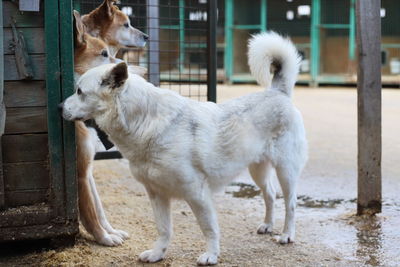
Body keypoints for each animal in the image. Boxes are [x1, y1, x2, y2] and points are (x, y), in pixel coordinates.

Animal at [60, 31, 310, 266]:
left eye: (79, 91)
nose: (59, 106)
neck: (145, 122)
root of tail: (277, 92)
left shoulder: (197, 194)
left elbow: (208, 228)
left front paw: (211, 255)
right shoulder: (156, 194)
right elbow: (164, 229)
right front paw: (158, 254)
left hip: (286, 171)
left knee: (290, 203)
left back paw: (286, 235)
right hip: (258, 169)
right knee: (270, 194)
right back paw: (267, 225)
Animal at [71, 0, 147, 247]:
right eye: (103, 54)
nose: (127, 67)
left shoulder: (88, 170)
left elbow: (98, 208)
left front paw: (111, 232)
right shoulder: (80, 172)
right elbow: (90, 211)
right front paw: (103, 238)